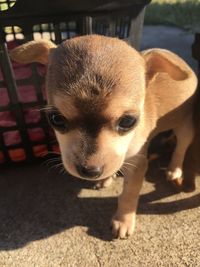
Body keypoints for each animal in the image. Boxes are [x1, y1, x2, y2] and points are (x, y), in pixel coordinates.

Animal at [10, 35, 198, 239]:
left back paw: (174, 169)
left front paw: (123, 221)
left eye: (128, 121)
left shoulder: (138, 164)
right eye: (56, 119)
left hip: (185, 127)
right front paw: (106, 179)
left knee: (181, 147)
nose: (90, 171)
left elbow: (129, 194)